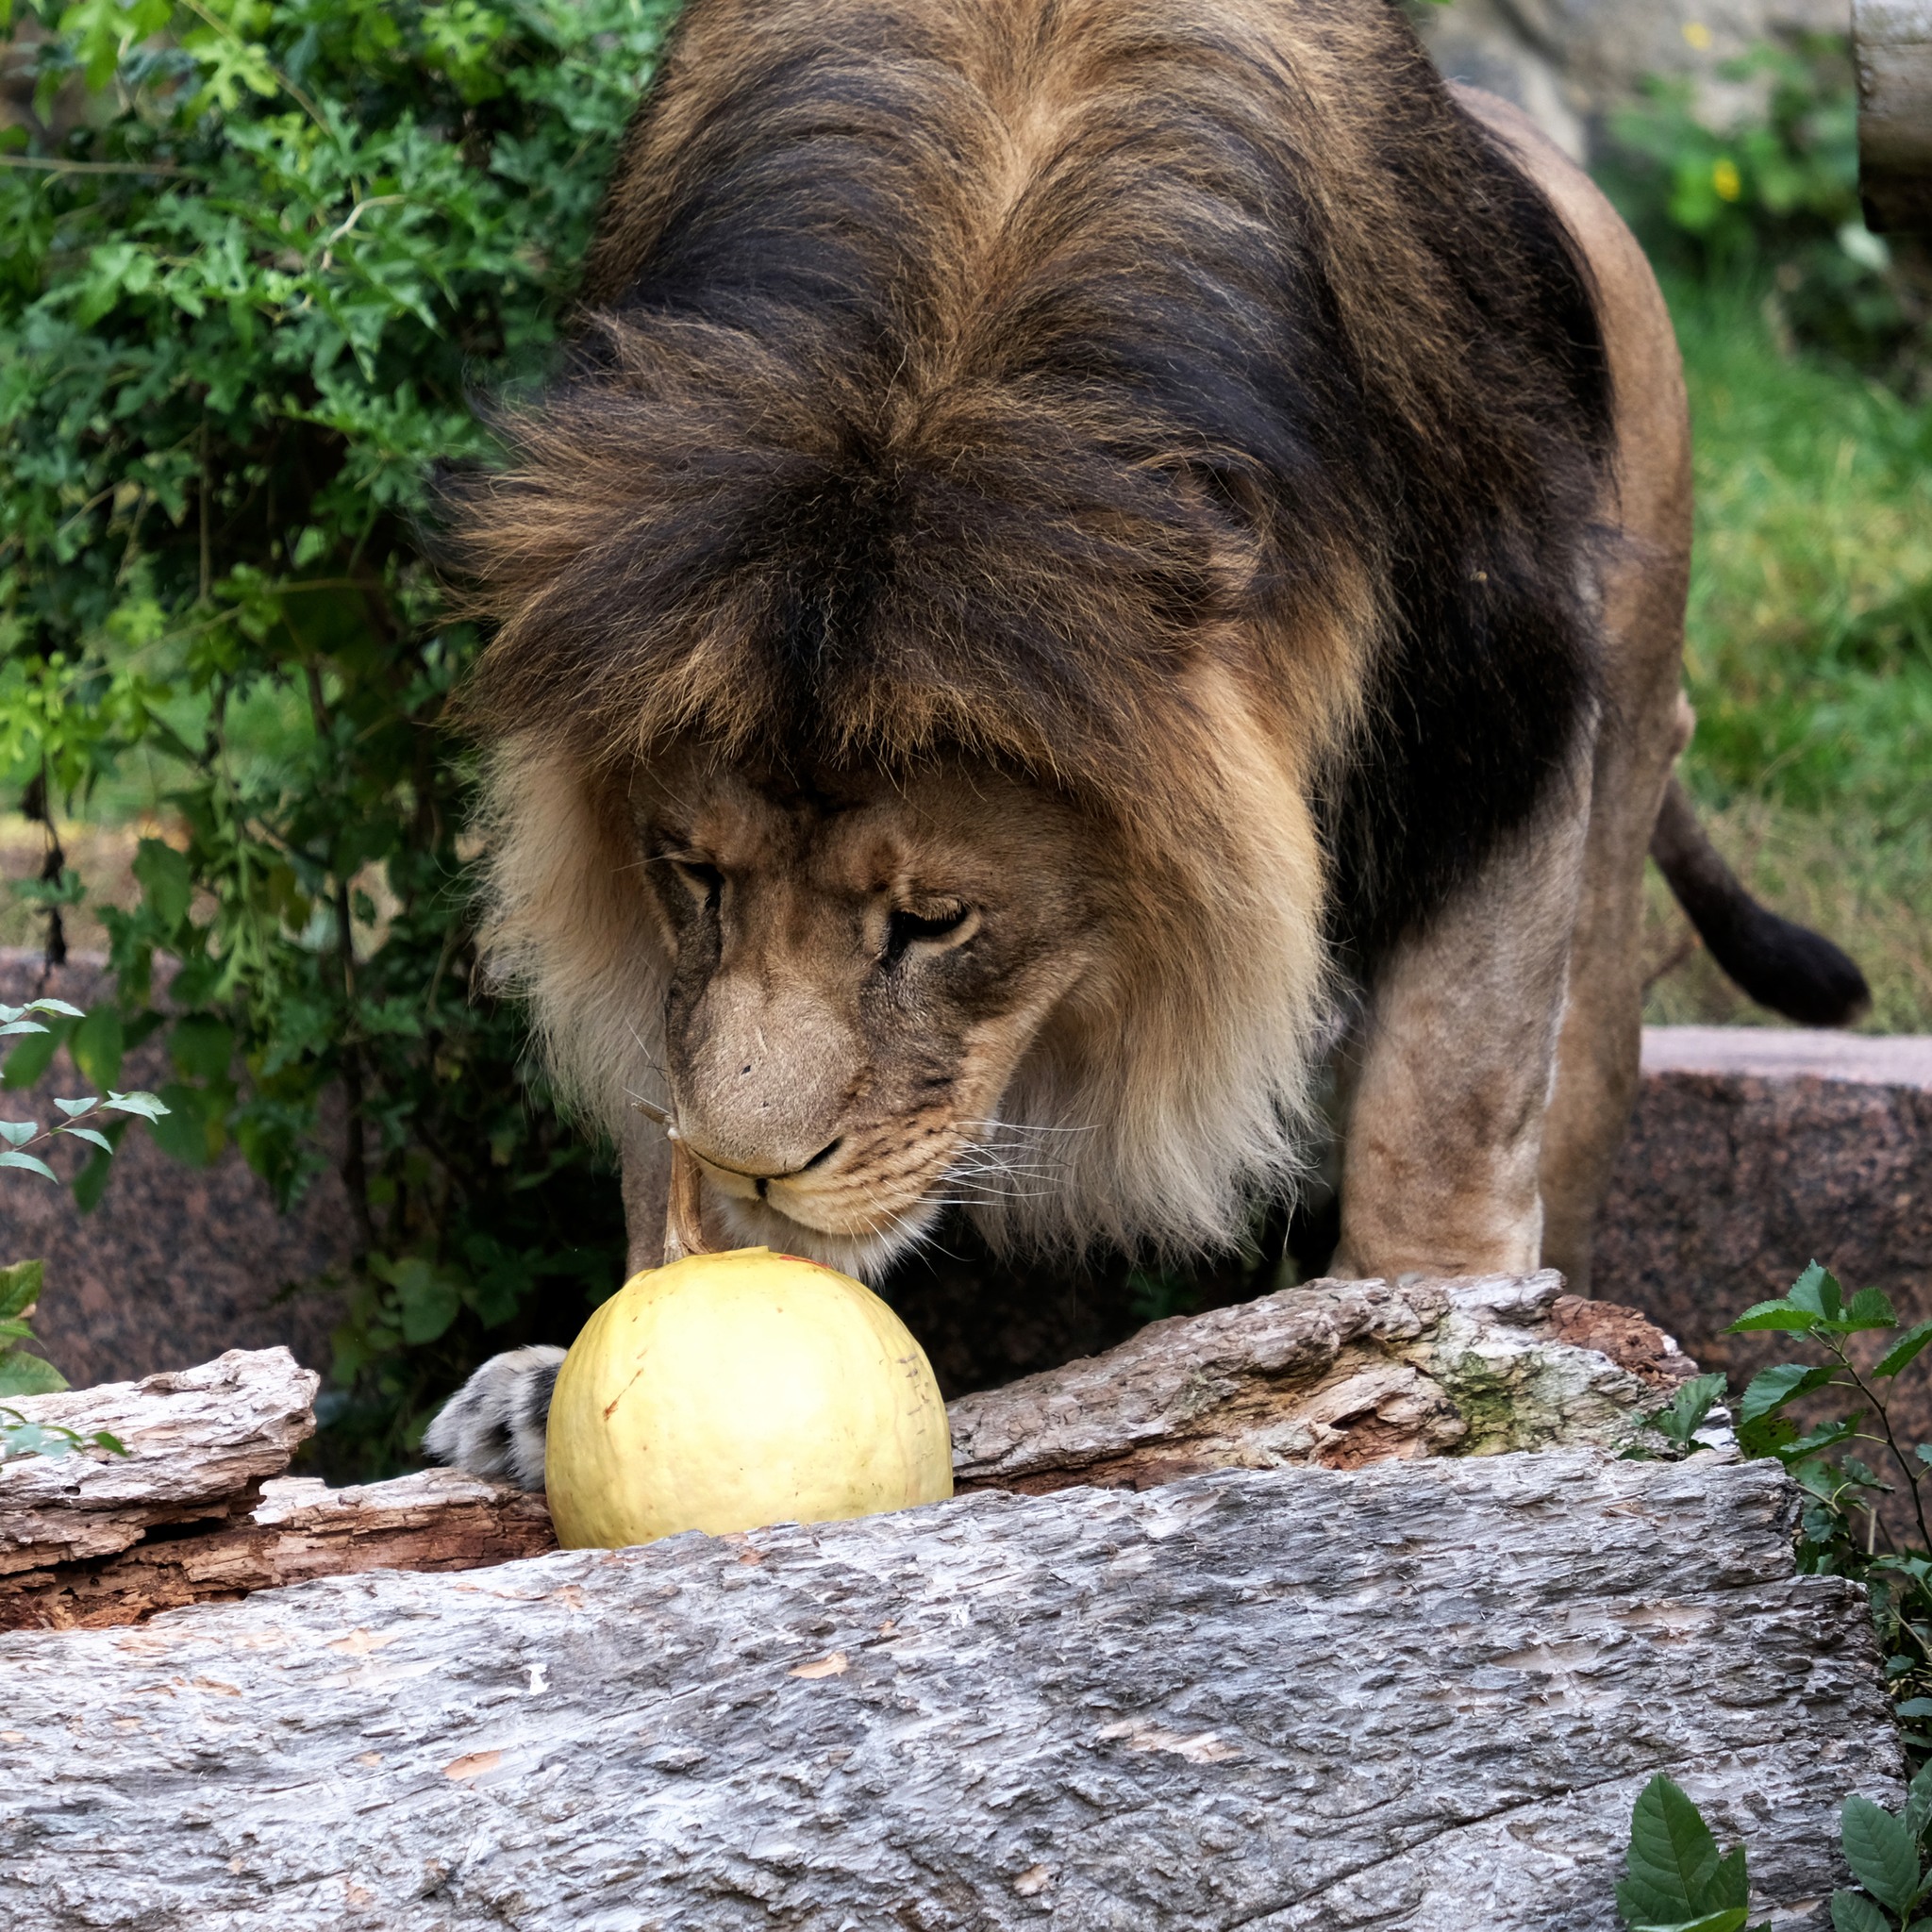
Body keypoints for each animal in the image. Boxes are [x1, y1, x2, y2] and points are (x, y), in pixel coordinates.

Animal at [419, 0, 1855, 1491]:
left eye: (932, 922)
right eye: (694, 874)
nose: (760, 1167)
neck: (951, 312)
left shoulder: (1497, 729)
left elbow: (1440, 1112)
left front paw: (1452, 1371)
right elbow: (668, 1118)